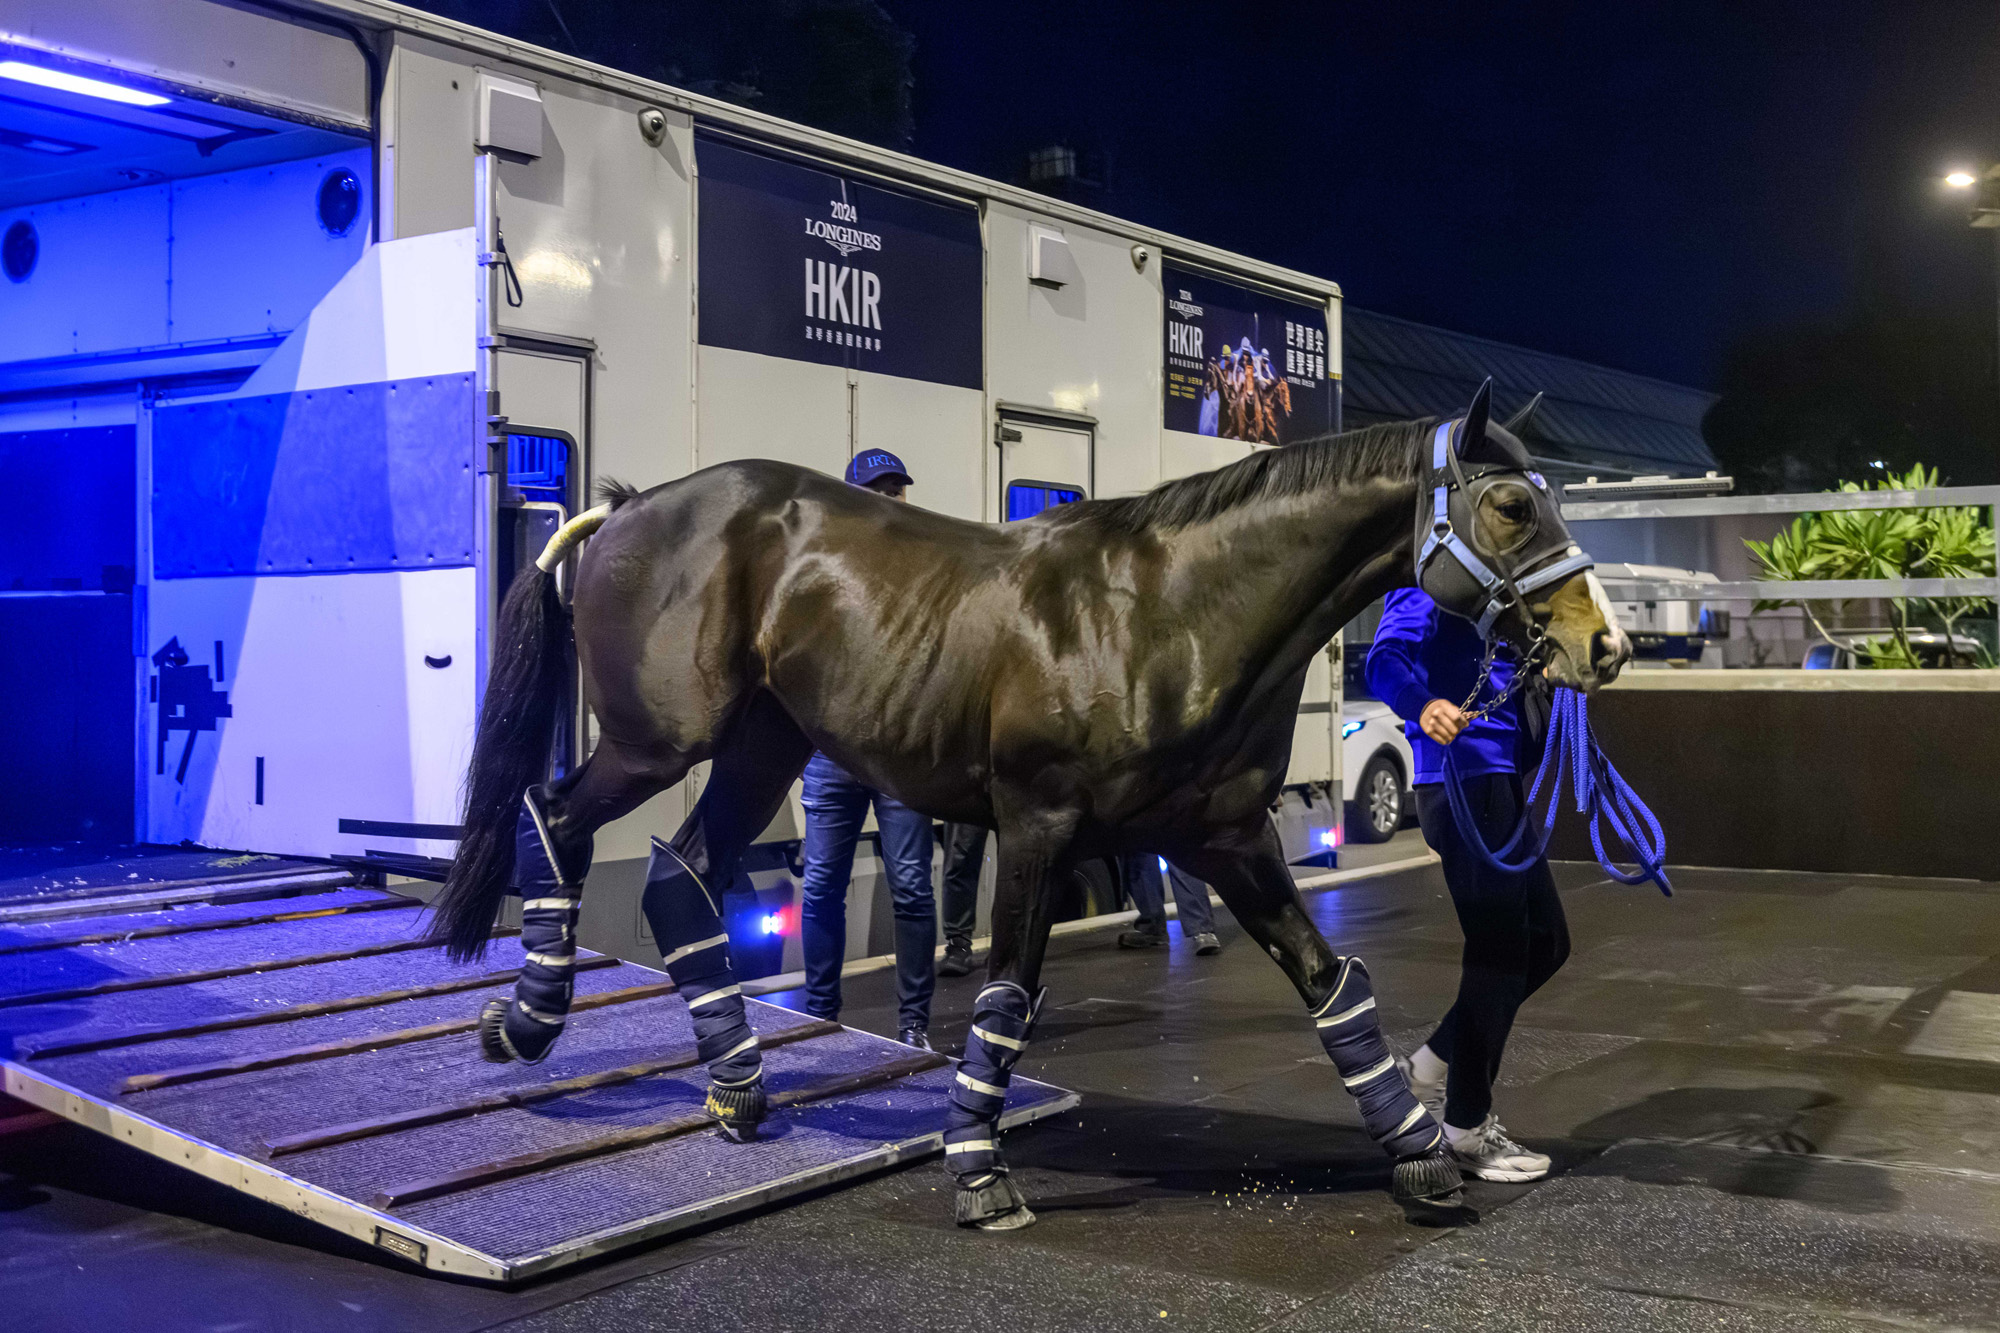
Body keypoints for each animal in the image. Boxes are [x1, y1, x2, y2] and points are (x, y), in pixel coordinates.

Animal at [434, 382, 1624, 1224]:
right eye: (1510, 502)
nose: (1601, 643)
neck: (1167, 615)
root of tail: (628, 509)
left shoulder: (1229, 838)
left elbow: (1332, 983)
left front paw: (1418, 1148)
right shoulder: (1037, 830)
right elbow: (1006, 994)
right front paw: (977, 1171)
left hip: (762, 744)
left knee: (680, 868)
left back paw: (732, 1084)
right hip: (658, 741)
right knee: (558, 818)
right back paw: (527, 1021)